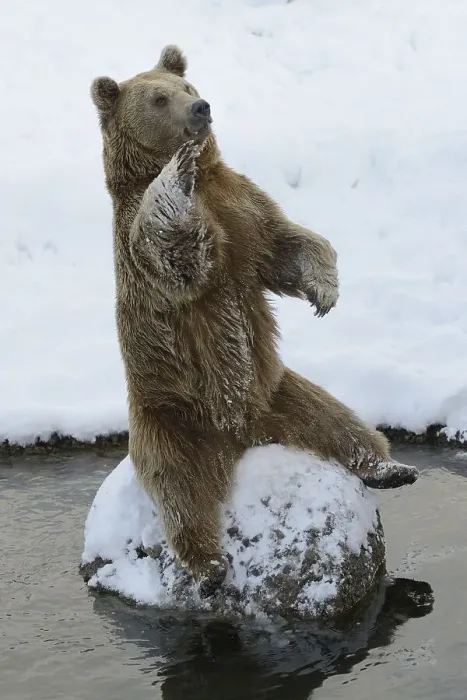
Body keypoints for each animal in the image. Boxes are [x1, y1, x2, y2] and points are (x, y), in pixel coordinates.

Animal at [90, 45, 419, 597]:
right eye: (158, 98)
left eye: (186, 86)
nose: (199, 107)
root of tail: (240, 433)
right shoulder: (150, 238)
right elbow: (175, 250)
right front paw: (177, 172)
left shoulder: (243, 205)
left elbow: (283, 244)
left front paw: (324, 291)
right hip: (168, 416)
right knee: (180, 491)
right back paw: (208, 566)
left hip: (280, 390)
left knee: (337, 420)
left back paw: (390, 467)